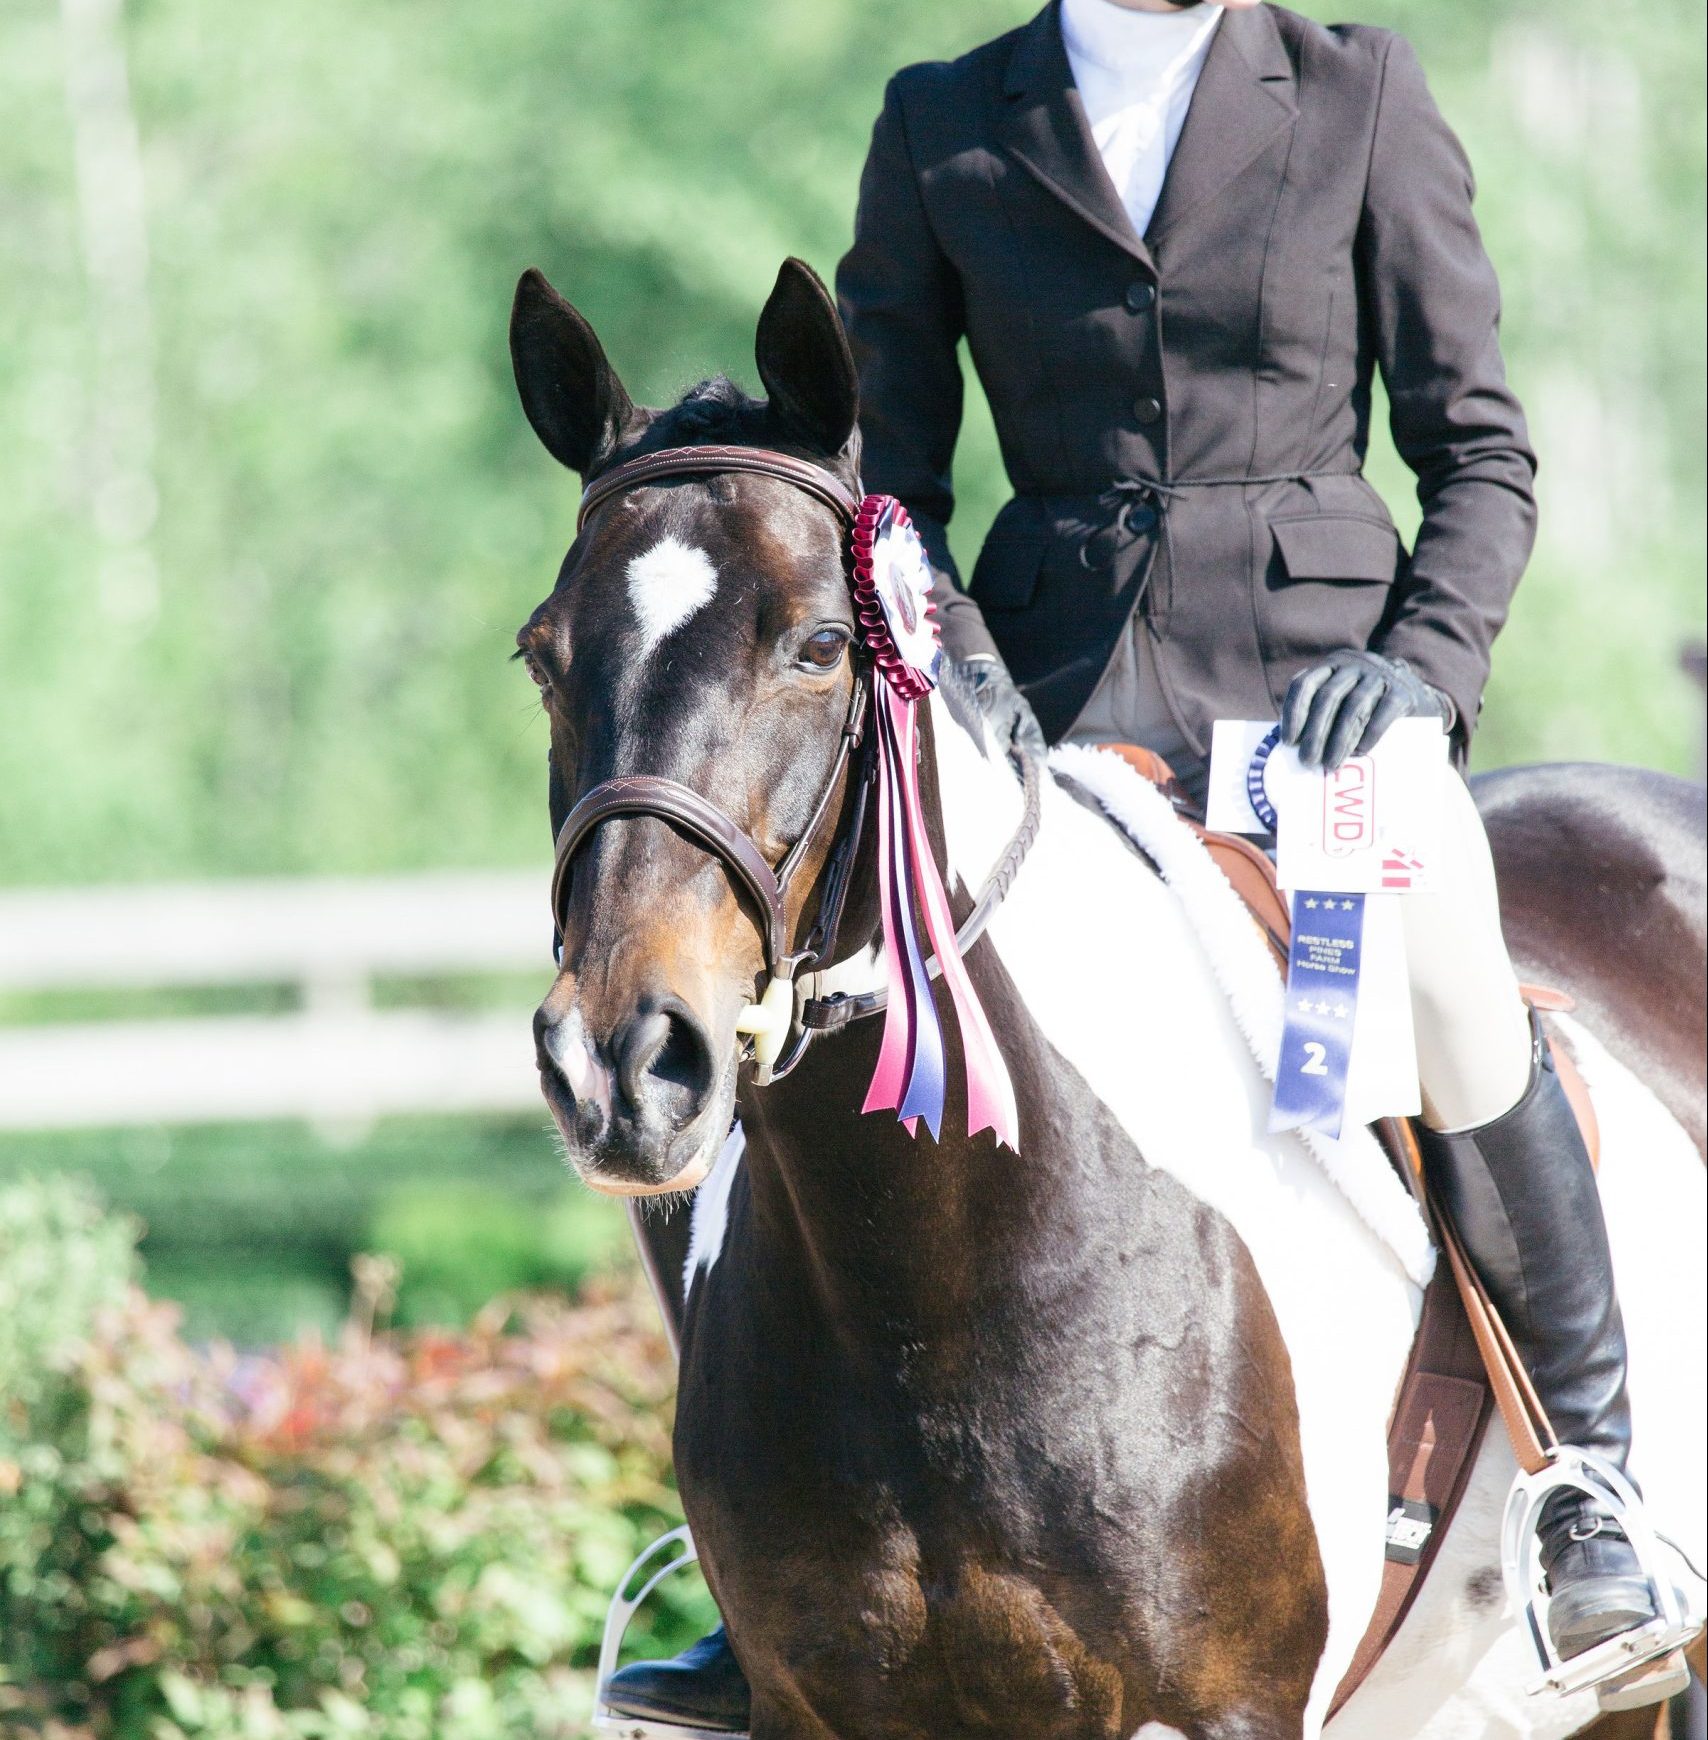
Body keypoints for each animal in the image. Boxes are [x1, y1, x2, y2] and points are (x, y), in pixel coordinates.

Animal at [509, 257, 1707, 1740]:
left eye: (820, 646)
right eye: (544, 658)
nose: (622, 1060)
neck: (927, 1272)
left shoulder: (1219, 1708)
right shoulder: (816, 1706)